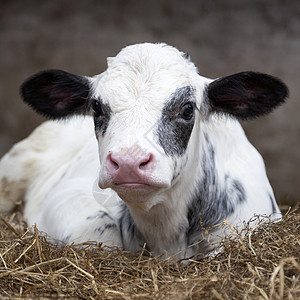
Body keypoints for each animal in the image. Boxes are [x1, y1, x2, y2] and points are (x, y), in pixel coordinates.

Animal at [0, 42, 288, 260]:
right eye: (96, 106)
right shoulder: (69, 194)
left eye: (187, 108)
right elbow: (101, 235)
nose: (128, 162)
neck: (165, 235)